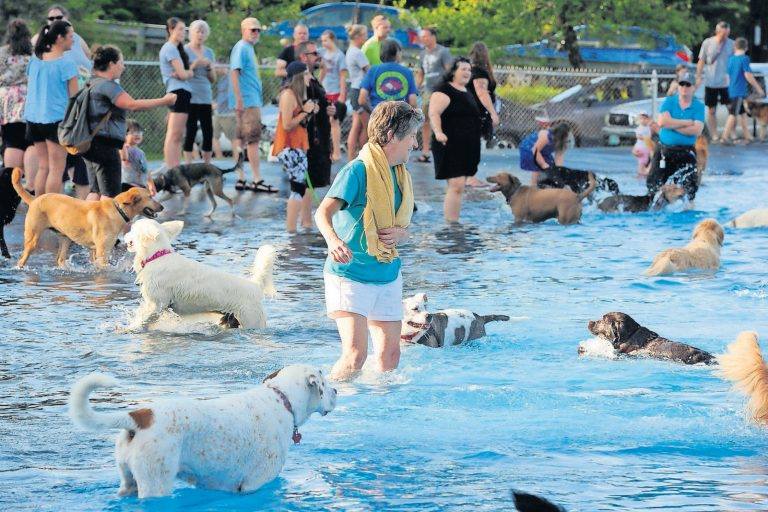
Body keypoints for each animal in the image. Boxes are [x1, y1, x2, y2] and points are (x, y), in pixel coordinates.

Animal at [10, 170, 164, 270]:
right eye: (150, 197)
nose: (162, 207)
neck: (118, 210)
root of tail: (35, 199)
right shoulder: (102, 252)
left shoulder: (95, 251)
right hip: (33, 239)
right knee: (22, 259)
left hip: (66, 239)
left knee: (60, 260)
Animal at [69, 364, 336, 500]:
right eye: (323, 382)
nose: (335, 391)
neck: (282, 399)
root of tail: (140, 416)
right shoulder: (254, 484)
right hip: (155, 484)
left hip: (129, 483)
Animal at [127, 219, 278, 330]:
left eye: (133, 229)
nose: (125, 236)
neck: (157, 256)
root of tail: (255, 286)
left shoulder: (156, 305)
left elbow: (142, 322)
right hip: (231, 321)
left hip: (252, 320)